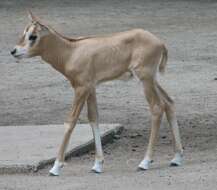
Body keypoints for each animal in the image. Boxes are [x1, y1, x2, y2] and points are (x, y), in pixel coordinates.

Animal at [10, 11, 183, 175]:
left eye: (33, 36)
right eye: (24, 32)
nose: (14, 51)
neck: (71, 52)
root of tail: (160, 43)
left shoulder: (81, 88)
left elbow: (70, 121)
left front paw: (56, 167)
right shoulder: (91, 88)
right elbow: (94, 118)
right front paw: (97, 165)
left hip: (145, 79)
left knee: (157, 107)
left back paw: (145, 162)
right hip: (152, 79)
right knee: (169, 102)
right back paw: (176, 158)